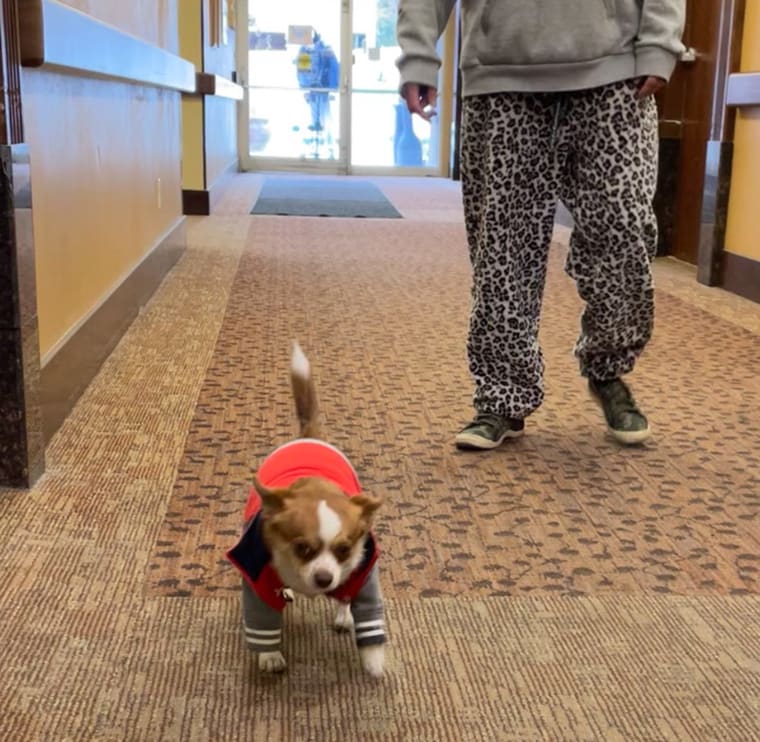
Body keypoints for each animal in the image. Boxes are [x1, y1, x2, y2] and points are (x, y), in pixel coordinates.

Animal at [227, 342, 386, 680]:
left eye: (344, 549)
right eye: (301, 547)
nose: (325, 578)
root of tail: (309, 436)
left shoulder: (363, 571)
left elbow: (369, 615)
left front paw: (374, 660)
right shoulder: (257, 583)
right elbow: (263, 624)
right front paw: (270, 656)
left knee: (345, 598)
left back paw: (343, 614)